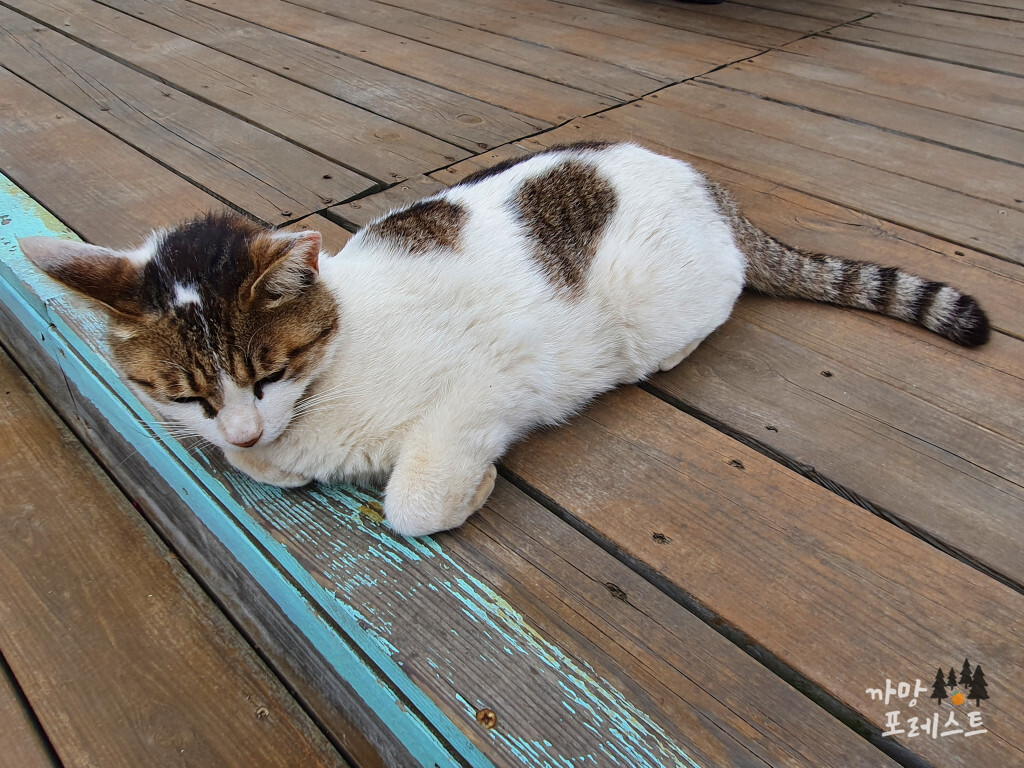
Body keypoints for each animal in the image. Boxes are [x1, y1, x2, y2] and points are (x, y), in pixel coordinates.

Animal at [18, 141, 991, 536]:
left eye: (270, 370)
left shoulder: (492, 387)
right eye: (185, 394)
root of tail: (707, 184)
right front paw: (256, 460)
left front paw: (471, 489)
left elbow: (412, 502)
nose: (248, 429)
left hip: (658, 296)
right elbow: (259, 470)